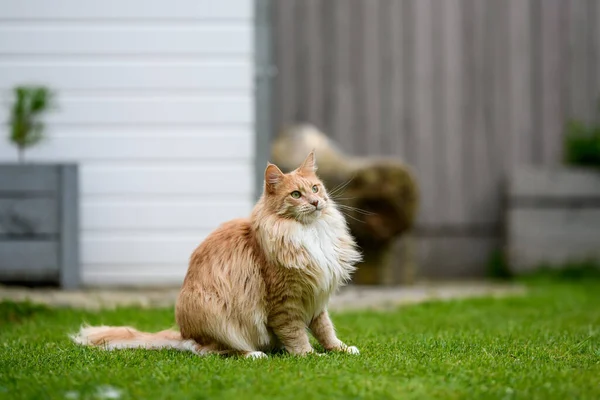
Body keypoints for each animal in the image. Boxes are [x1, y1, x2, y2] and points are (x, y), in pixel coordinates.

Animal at [70, 152, 360, 358]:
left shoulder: (316, 298)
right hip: (215, 313)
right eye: (296, 194)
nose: (315, 202)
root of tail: (184, 333)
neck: (310, 233)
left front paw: (340, 349)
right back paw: (254, 354)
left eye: (315, 188)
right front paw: (309, 355)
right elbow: (296, 334)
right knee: (210, 351)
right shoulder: (285, 300)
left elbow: (325, 329)